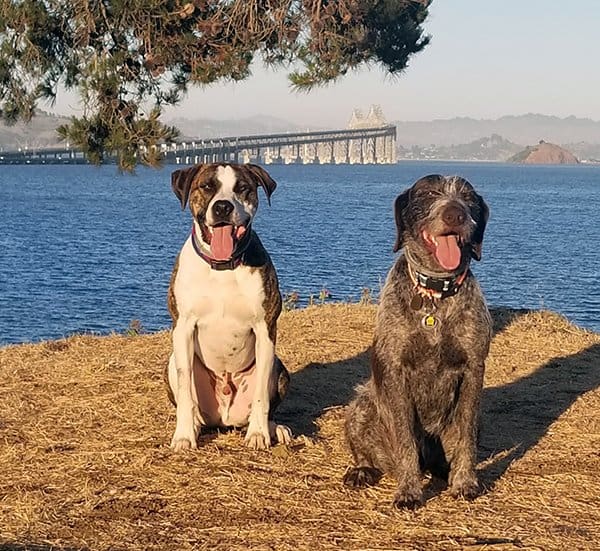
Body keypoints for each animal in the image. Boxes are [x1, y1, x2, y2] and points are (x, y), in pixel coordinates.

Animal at [165, 162, 292, 450]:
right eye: (207, 186)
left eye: (242, 188)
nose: (223, 206)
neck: (222, 266)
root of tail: (225, 419)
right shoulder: (183, 327)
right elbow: (186, 392)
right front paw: (184, 436)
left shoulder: (265, 329)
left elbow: (261, 395)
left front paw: (258, 434)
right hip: (171, 363)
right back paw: (195, 425)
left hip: (280, 368)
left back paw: (274, 429)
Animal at [344, 175, 490, 512]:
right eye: (429, 193)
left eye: (468, 198)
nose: (455, 214)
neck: (436, 293)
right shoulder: (397, 372)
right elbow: (406, 441)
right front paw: (408, 491)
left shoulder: (473, 370)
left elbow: (466, 436)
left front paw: (465, 483)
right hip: (361, 405)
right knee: (369, 452)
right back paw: (362, 470)